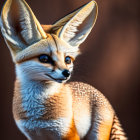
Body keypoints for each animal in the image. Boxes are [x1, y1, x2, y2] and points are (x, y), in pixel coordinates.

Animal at [0, 0, 127, 139]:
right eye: (44, 58)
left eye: (67, 60)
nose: (67, 73)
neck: (37, 117)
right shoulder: (33, 135)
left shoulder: (69, 133)